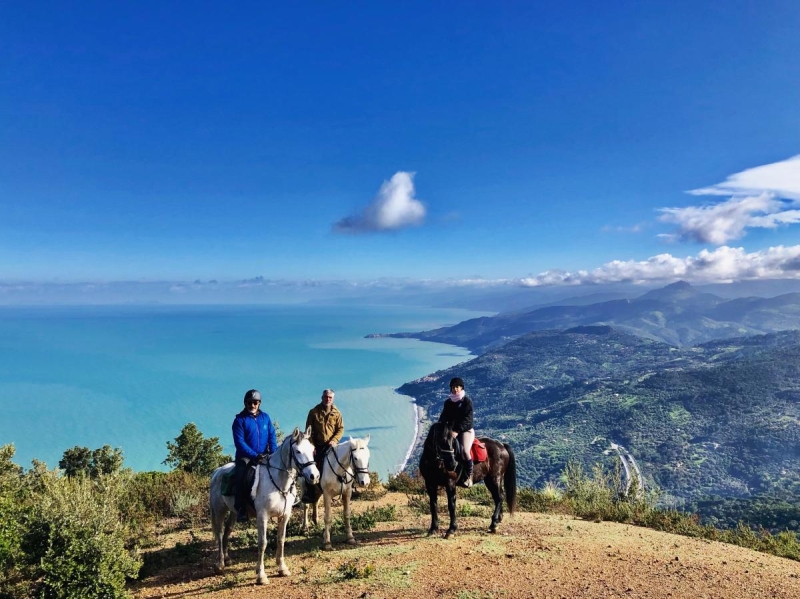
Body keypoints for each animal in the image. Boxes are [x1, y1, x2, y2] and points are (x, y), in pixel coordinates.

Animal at [211, 426, 320, 584]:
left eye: (312, 449)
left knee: (227, 531)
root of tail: (217, 472)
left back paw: (227, 559)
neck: (277, 481)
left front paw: (282, 568)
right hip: (219, 510)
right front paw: (261, 575)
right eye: (298, 451)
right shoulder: (262, 516)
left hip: (234, 512)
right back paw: (220, 564)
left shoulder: (285, 515)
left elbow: (281, 539)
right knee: (219, 533)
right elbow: (262, 543)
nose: (314, 476)